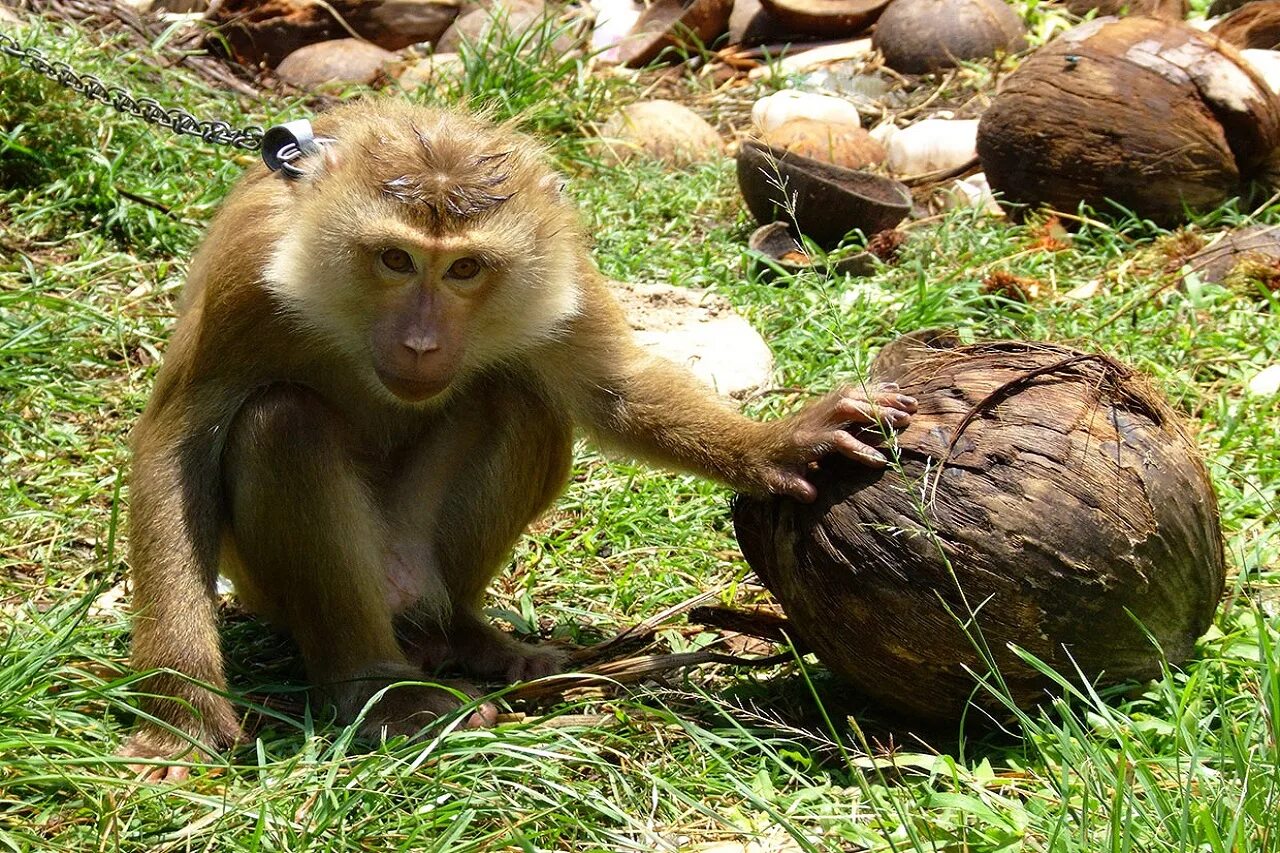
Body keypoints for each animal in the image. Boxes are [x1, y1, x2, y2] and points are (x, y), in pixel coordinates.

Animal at [122, 99, 921, 778]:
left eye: (465, 268)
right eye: (395, 259)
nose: (420, 343)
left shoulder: (557, 257)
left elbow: (617, 393)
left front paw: (780, 444)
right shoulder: (247, 272)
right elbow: (175, 448)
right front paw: (182, 717)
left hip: (417, 557)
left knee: (520, 398)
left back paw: (466, 637)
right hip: (278, 589)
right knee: (282, 422)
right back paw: (380, 690)